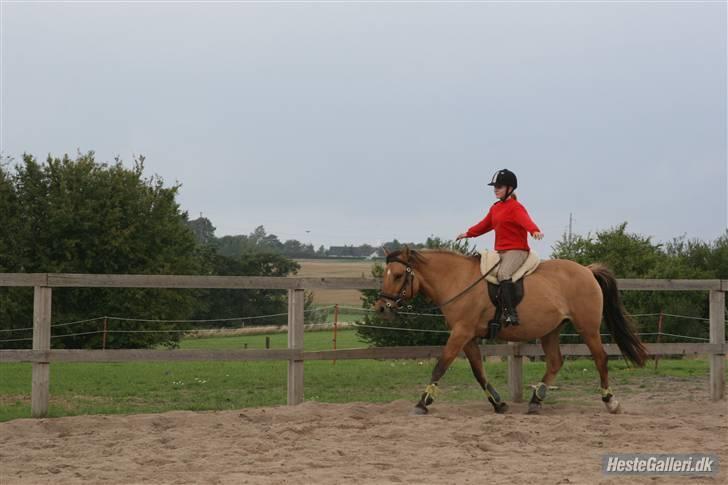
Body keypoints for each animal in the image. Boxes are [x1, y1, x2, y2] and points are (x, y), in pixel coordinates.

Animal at [376, 248, 648, 414]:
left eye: (398, 275)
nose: (381, 307)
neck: (457, 280)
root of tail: (587, 270)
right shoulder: (468, 336)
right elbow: (478, 371)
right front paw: (498, 403)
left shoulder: (461, 333)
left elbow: (440, 366)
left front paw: (422, 403)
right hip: (551, 330)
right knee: (555, 361)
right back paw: (536, 401)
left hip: (587, 327)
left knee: (600, 358)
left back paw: (610, 401)